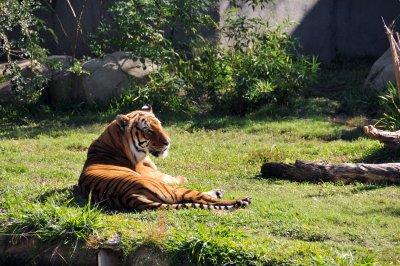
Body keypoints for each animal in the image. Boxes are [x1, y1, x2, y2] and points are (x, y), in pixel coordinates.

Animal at [78, 105, 252, 211]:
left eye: (160, 125)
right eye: (148, 131)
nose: (168, 142)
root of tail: (129, 196)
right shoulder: (156, 174)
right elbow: (176, 178)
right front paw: (183, 177)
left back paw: (220, 193)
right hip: (170, 190)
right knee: (202, 198)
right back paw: (242, 200)